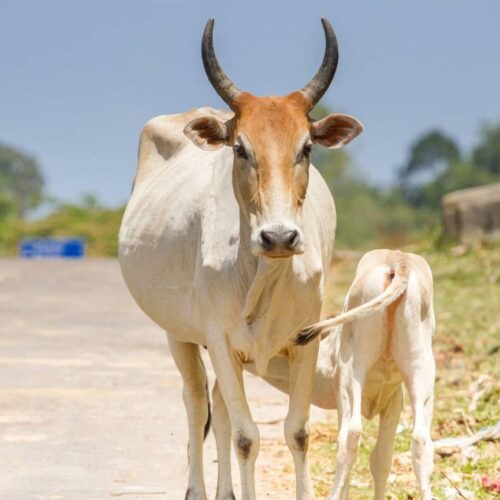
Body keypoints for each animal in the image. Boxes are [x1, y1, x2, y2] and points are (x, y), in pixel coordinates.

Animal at [120, 17, 364, 498]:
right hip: (179, 333)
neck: (263, 274)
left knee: (217, 410)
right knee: (198, 404)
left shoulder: (305, 340)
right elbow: (247, 437)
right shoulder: (219, 341)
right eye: (240, 148)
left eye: (307, 148)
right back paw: (198, 489)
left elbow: (297, 431)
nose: (279, 236)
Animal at [244, 250, 436, 500]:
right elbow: (382, 459)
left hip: (351, 372)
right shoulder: (393, 402)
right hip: (420, 371)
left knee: (351, 434)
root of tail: (398, 260)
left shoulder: (360, 396)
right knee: (420, 439)